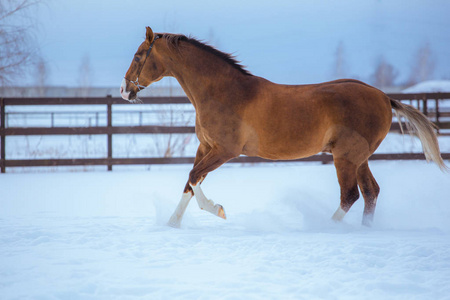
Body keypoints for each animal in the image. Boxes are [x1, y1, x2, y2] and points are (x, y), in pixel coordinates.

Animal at [120, 26, 446, 227]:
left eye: (137, 55)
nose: (124, 91)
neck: (224, 92)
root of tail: (384, 97)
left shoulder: (226, 151)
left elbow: (194, 177)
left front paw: (218, 210)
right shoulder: (206, 146)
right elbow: (191, 181)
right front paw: (172, 224)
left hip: (345, 157)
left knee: (351, 195)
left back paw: (328, 228)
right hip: (359, 158)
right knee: (370, 192)